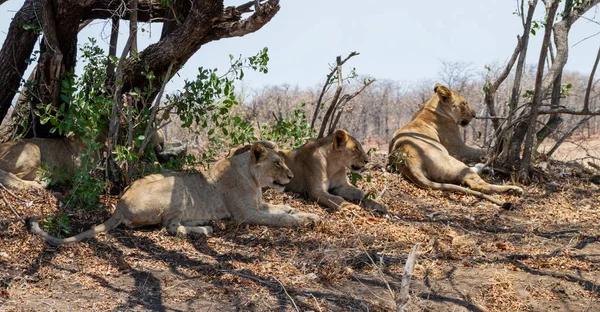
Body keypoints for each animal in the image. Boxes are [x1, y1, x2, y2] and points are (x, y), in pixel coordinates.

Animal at [29, 142, 318, 246]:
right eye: (277, 163)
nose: (291, 177)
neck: (254, 179)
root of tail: (118, 207)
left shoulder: (258, 205)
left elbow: (280, 209)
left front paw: (306, 213)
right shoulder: (246, 214)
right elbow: (280, 219)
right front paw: (302, 219)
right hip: (177, 184)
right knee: (169, 228)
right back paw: (204, 228)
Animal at [230, 130, 390, 214]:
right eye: (356, 148)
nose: (367, 160)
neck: (334, 165)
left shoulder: (341, 186)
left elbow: (361, 193)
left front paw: (379, 205)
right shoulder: (316, 191)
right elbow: (337, 199)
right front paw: (349, 206)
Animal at [386, 83, 524, 207]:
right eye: (464, 103)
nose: (474, 114)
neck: (430, 107)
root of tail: (408, 161)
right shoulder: (459, 148)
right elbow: (484, 151)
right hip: (453, 163)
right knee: (478, 185)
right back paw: (514, 189)